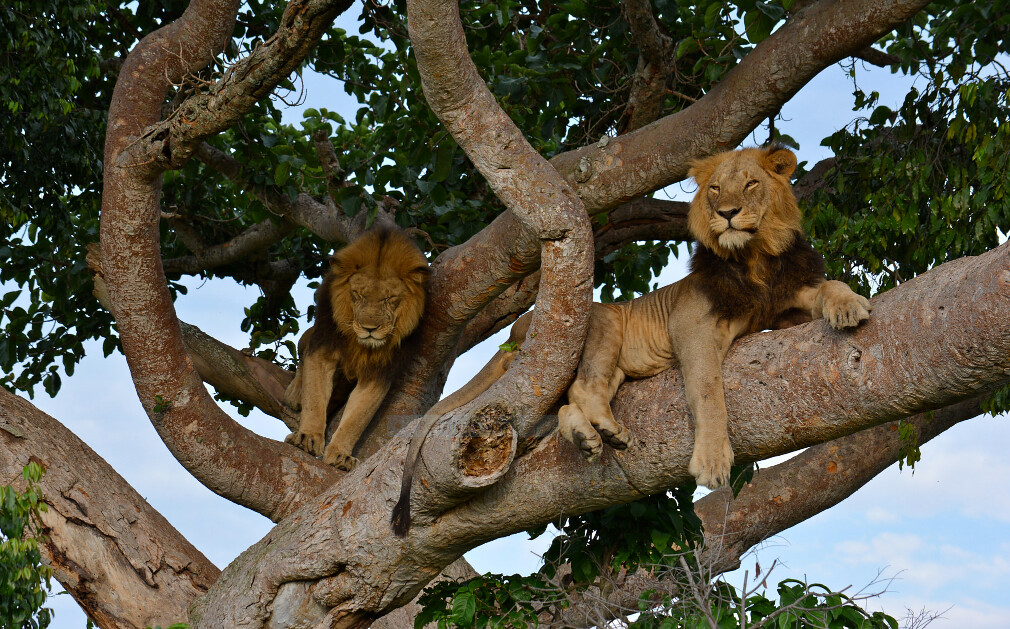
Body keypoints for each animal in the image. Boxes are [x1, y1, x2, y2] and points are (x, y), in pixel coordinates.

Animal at [284, 226, 429, 471]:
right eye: (358, 294)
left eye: (390, 298)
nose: (370, 329)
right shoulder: (323, 347)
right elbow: (315, 398)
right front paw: (307, 439)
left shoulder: (380, 371)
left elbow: (357, 418)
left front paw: (340, 455)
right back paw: (294, 393)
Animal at [391, 146, 870, 536]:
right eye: (716, 189)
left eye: (751, 183)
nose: (728, 213)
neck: (755, 259)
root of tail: (514, 333)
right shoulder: (691, 322)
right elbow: (708, 390)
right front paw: (712, 461)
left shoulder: (783, 309)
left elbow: (829, 286)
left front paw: (851, 306)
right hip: (601, 319)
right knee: (584, 389)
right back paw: (604, 429)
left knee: (566, 405)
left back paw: (589, 436)